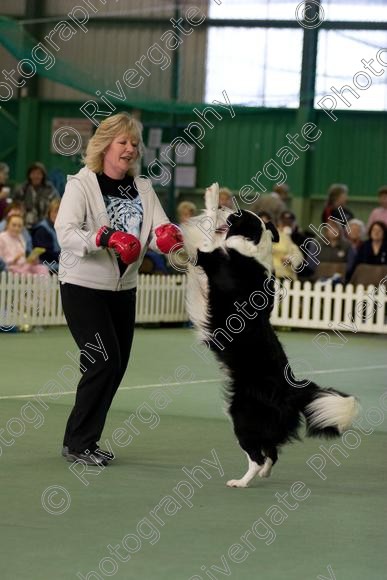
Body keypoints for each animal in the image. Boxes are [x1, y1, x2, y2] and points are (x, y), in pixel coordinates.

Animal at [183, 184, 360, 488]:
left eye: (236, 215)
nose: (228, 207)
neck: (253, 245)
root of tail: (293, 389)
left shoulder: (211, 256)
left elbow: (207, 236)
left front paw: (212, 196)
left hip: (242, 415)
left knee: (257, 454)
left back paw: (241, 481)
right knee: (272, 452)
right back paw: (264, 473)